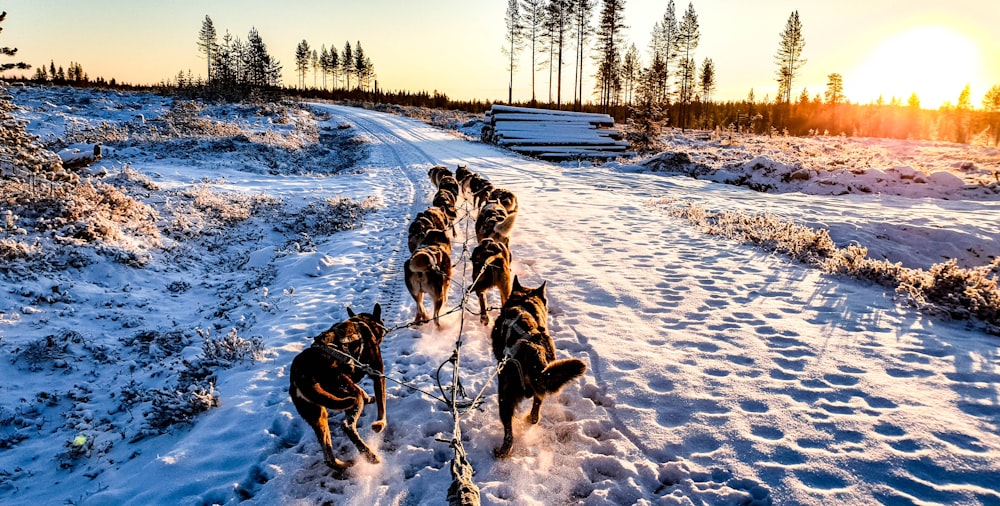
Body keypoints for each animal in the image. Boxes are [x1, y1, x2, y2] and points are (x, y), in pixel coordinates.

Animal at [290, 302, 386, 468]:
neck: (362, 322)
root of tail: (298, 373)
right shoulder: (378, 373)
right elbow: (382, 406)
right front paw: (380, 423)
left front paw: (369, 398)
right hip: (349, 396)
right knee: (347, 426)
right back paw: (369, 455)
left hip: (319, 415)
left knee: (328, 456)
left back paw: (344, 464)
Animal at [490, 276, 584, 458]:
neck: (524, 303)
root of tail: (531, 349)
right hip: (541, 383)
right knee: (536, 409)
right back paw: (531, 419)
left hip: (504, 396)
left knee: (508, 432)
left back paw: (502, 451)